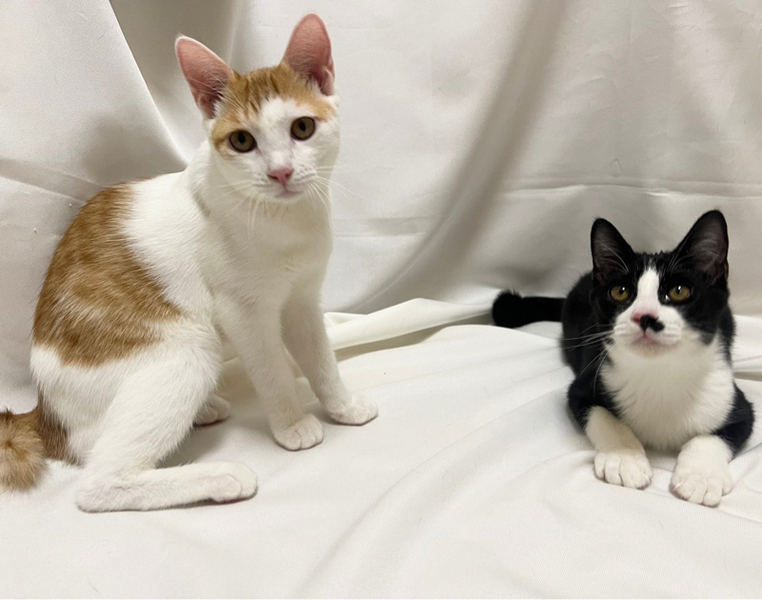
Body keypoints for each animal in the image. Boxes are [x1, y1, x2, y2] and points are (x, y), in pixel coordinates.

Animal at [0, 14, 377, 512]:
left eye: (302, 128)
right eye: (242, 141)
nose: (279, 172)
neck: (284, 220)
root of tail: (45, 415)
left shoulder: (303, 300)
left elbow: (321, 360)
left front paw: (342, 405)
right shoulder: (242, 313)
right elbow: (273, 370)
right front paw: (292, 424)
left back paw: (205, 411)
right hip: (188, 350)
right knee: (98, 483)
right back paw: (222, 476)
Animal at [492, 211, 753, 507]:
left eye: (679, 291)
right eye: (620, 292)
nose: (645, 317)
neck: (659, 373)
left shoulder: (732, 399)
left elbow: (717, 435)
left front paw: (700, 477)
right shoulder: (587, 382)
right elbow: (600, 414)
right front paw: (624, 459)